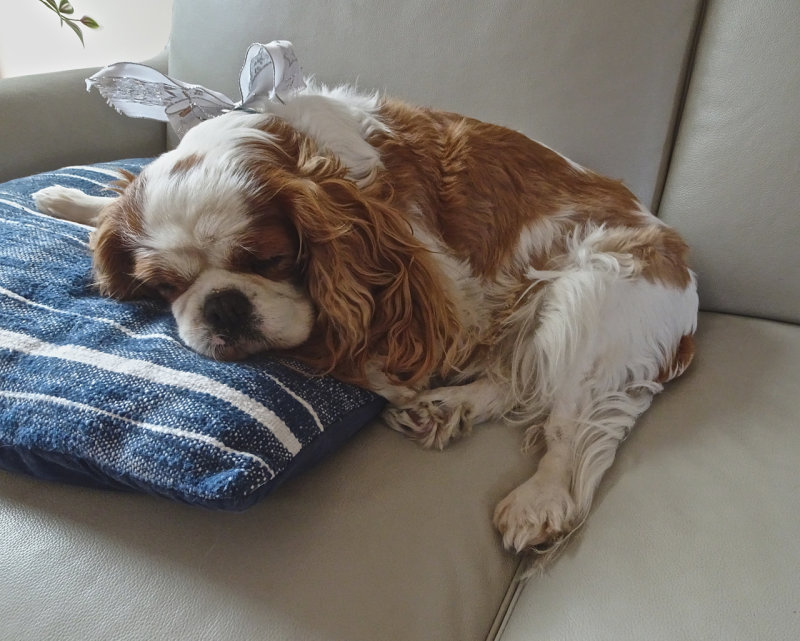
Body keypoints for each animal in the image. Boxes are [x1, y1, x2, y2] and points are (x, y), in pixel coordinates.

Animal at [34, 86, 696, 560]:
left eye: (269, 260)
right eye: (165, 285)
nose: (223, 304)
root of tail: (688, 305)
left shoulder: (446, 285)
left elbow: (381, 352)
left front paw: (383, 373)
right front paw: (73, 202)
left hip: (593, 292)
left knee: (565, 418)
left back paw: (538, 495)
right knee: (516, 378)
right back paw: (445, 408)